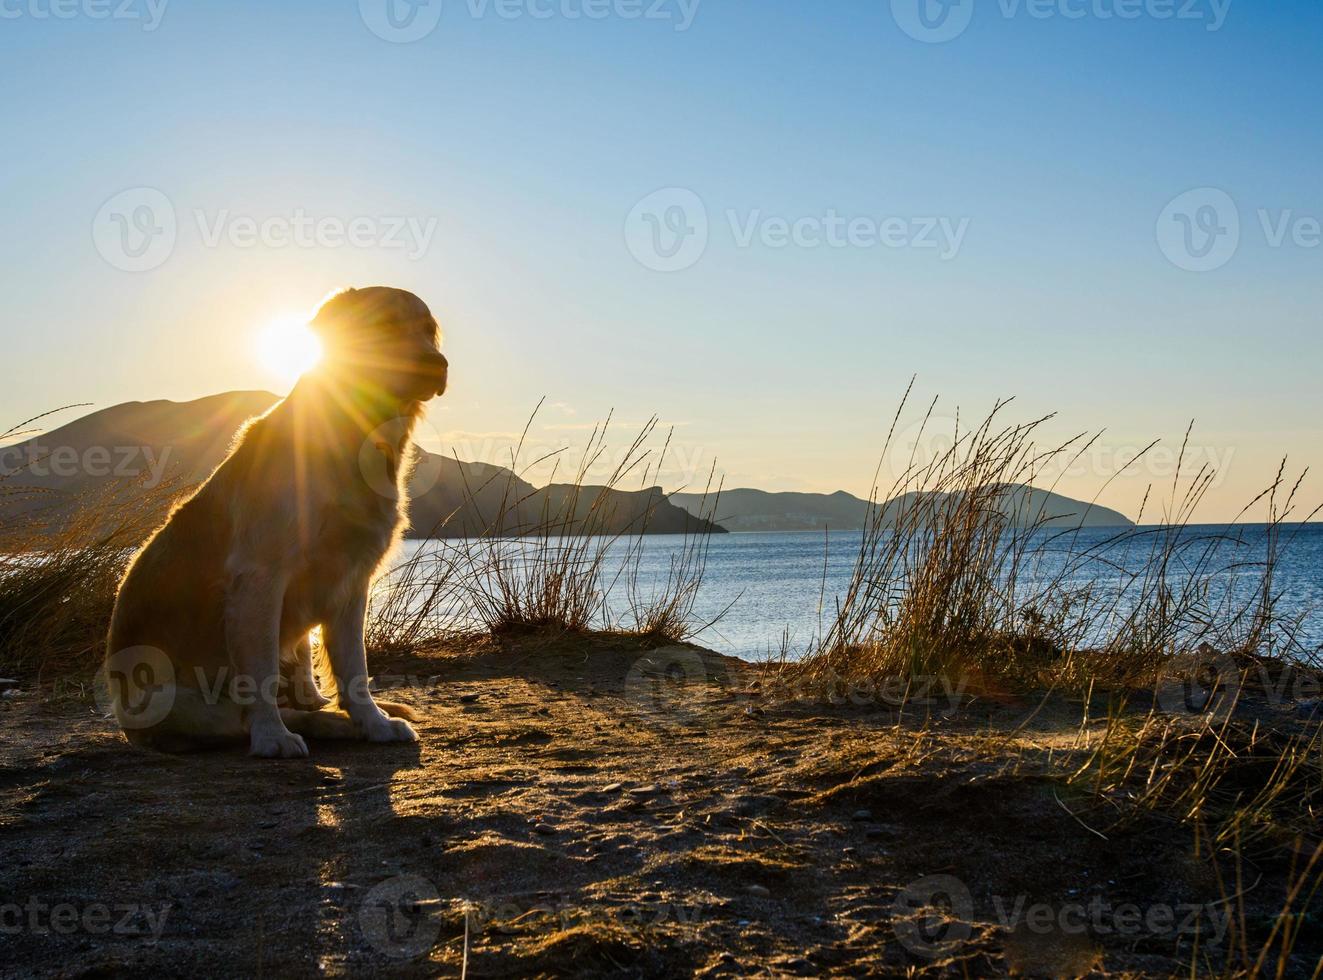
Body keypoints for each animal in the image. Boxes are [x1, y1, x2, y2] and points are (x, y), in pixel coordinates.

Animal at [101, 283, 449, 756]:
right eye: (385, 326)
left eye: (428, 330)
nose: (438, 364)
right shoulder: (260, 576)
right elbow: (261, 673)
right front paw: (273, 736)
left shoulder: (352, 581)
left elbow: (354, 670)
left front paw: (374, 723)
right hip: (177, 701)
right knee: (245, 716)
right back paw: (315, 724)